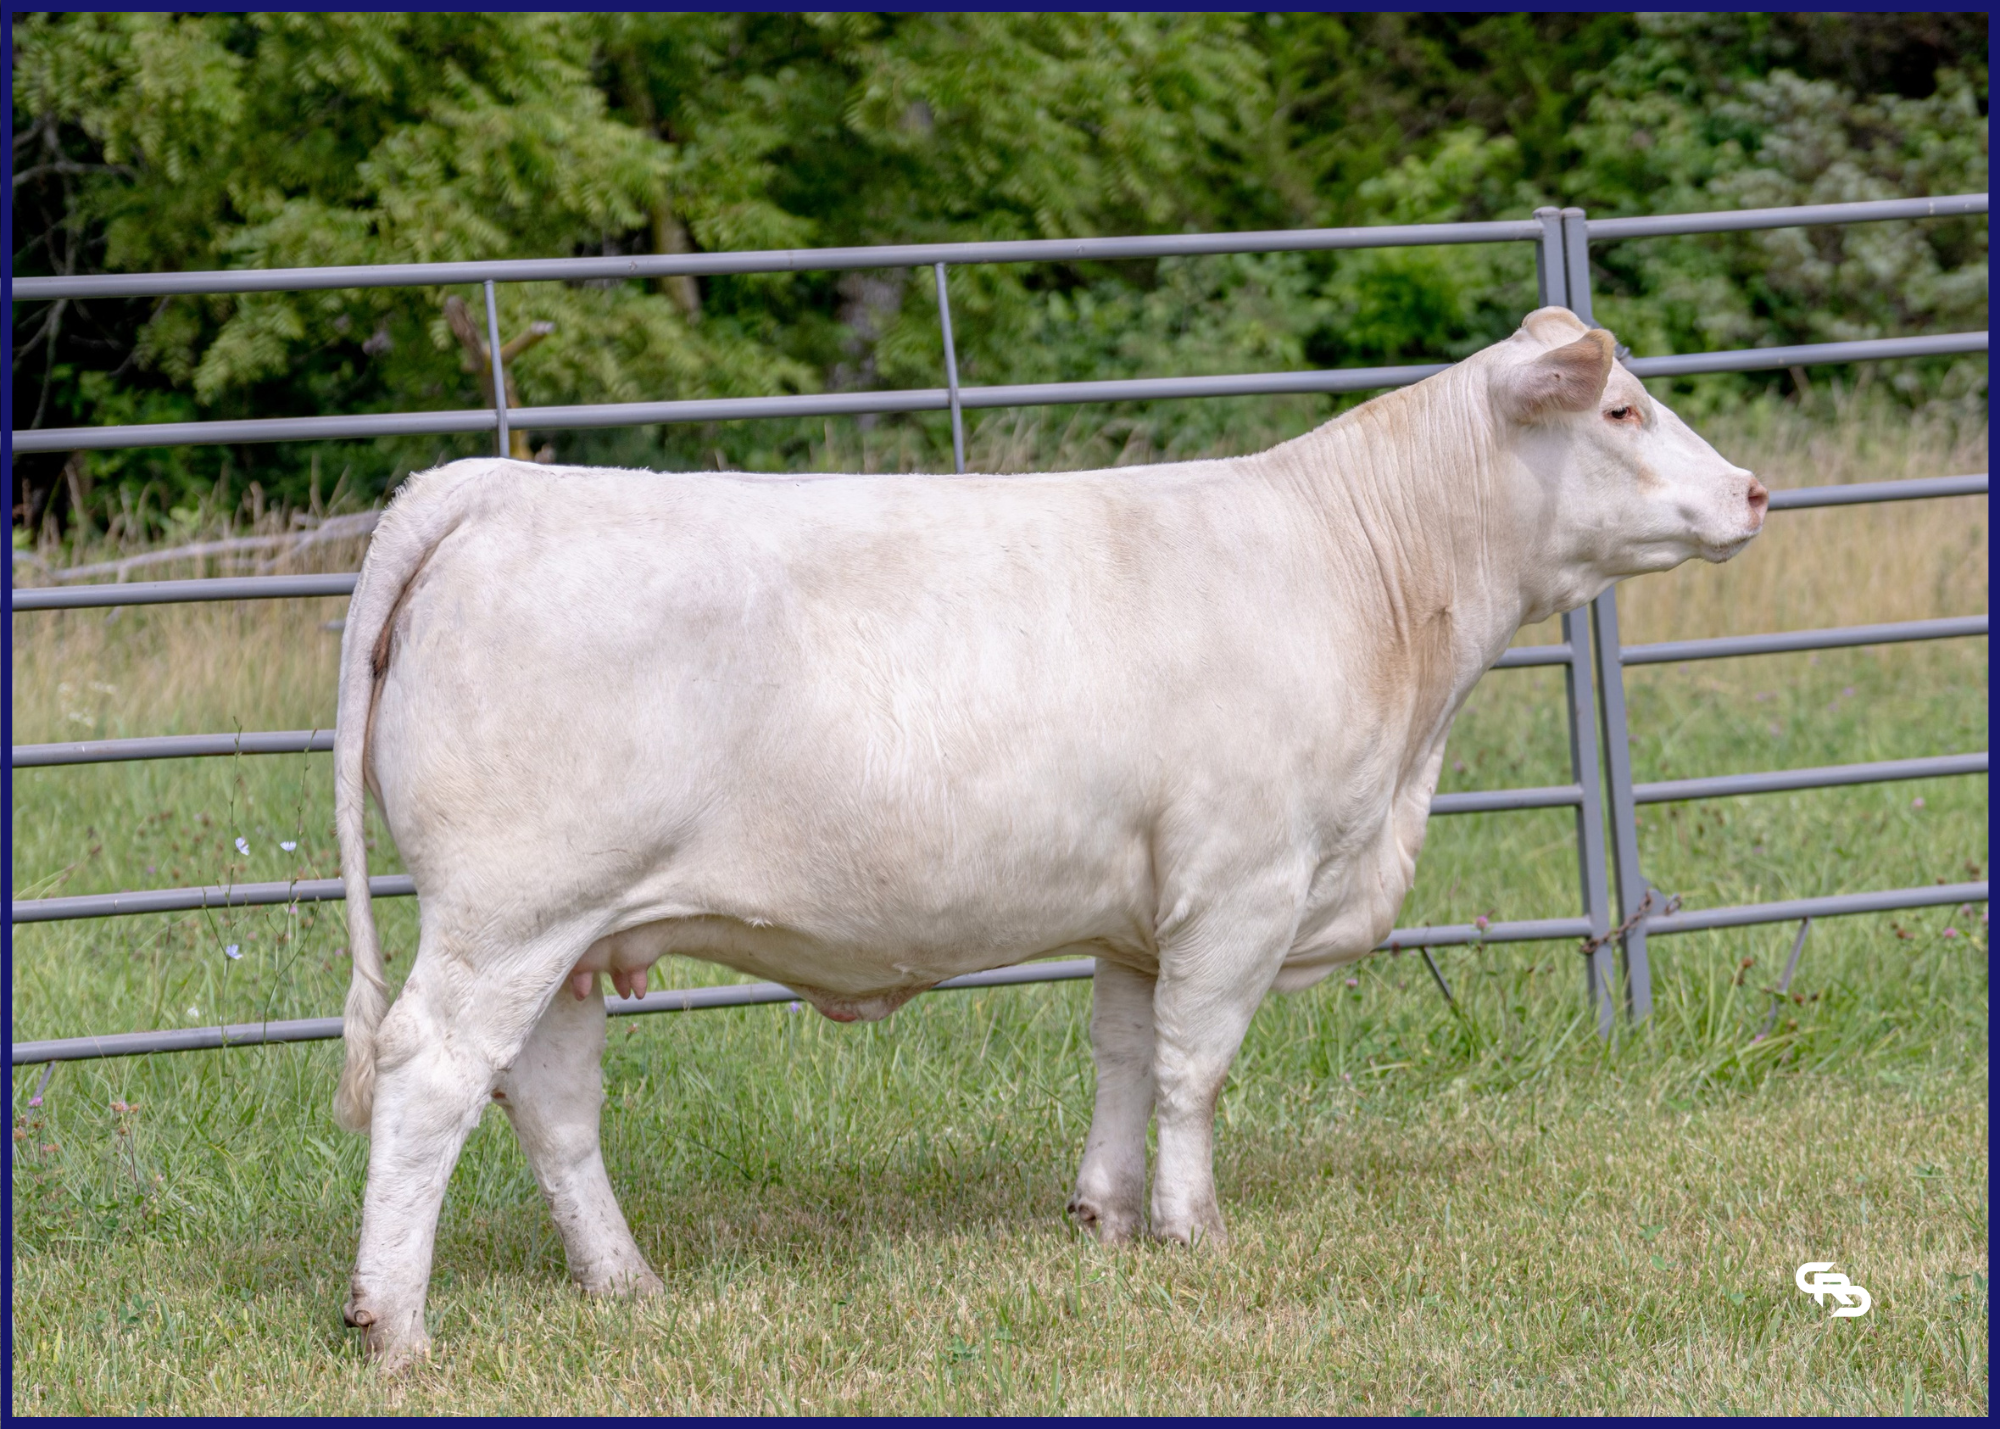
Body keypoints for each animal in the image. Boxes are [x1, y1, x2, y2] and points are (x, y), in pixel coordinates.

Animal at [330, 307, 1766, 1368]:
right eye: (1620, 410)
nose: (1754, 490)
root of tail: (490, 483)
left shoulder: (1142, 911)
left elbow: (1124, 1056)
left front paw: (1104, 1216)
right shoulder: (1243, 882)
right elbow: (1195, 1065)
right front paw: (1194, 1231)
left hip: (568, 934)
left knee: (550, 1099)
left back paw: (625, 1282)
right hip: (510, 912)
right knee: (431, 1073)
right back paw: (395, 1324)